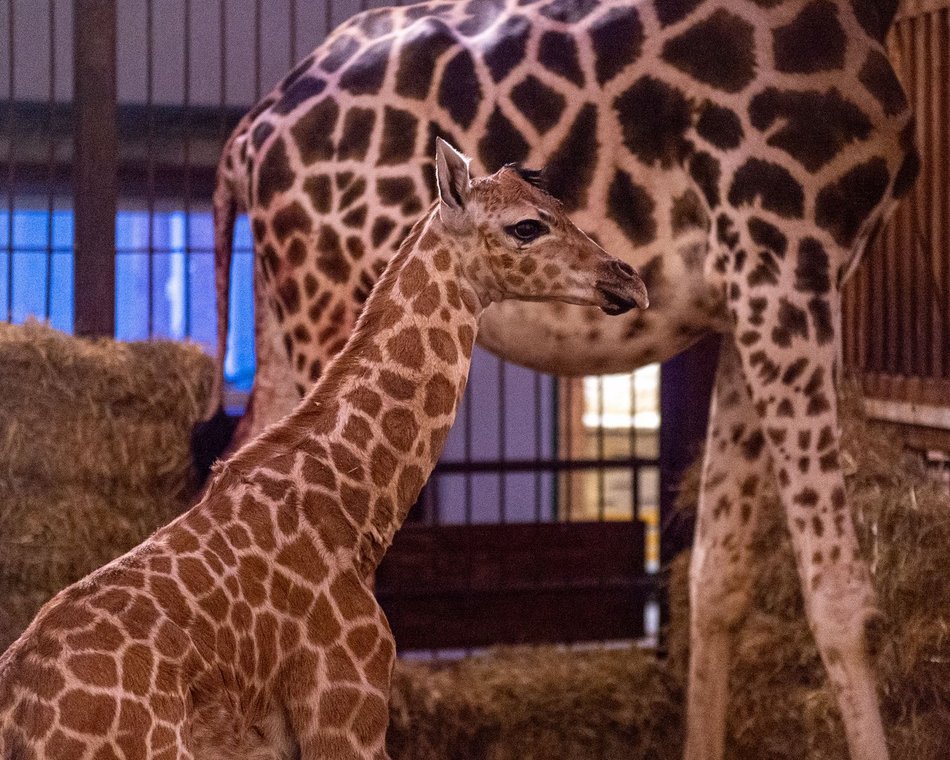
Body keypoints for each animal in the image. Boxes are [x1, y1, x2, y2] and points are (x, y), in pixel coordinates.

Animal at [206, 1, 916, 760]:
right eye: (527, 225)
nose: (629, 278)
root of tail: (251, 133)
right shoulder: (784, 259)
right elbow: (840, 594)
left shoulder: (745, 299)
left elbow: (716, 576)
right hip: (326, 294)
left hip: (284, 312)